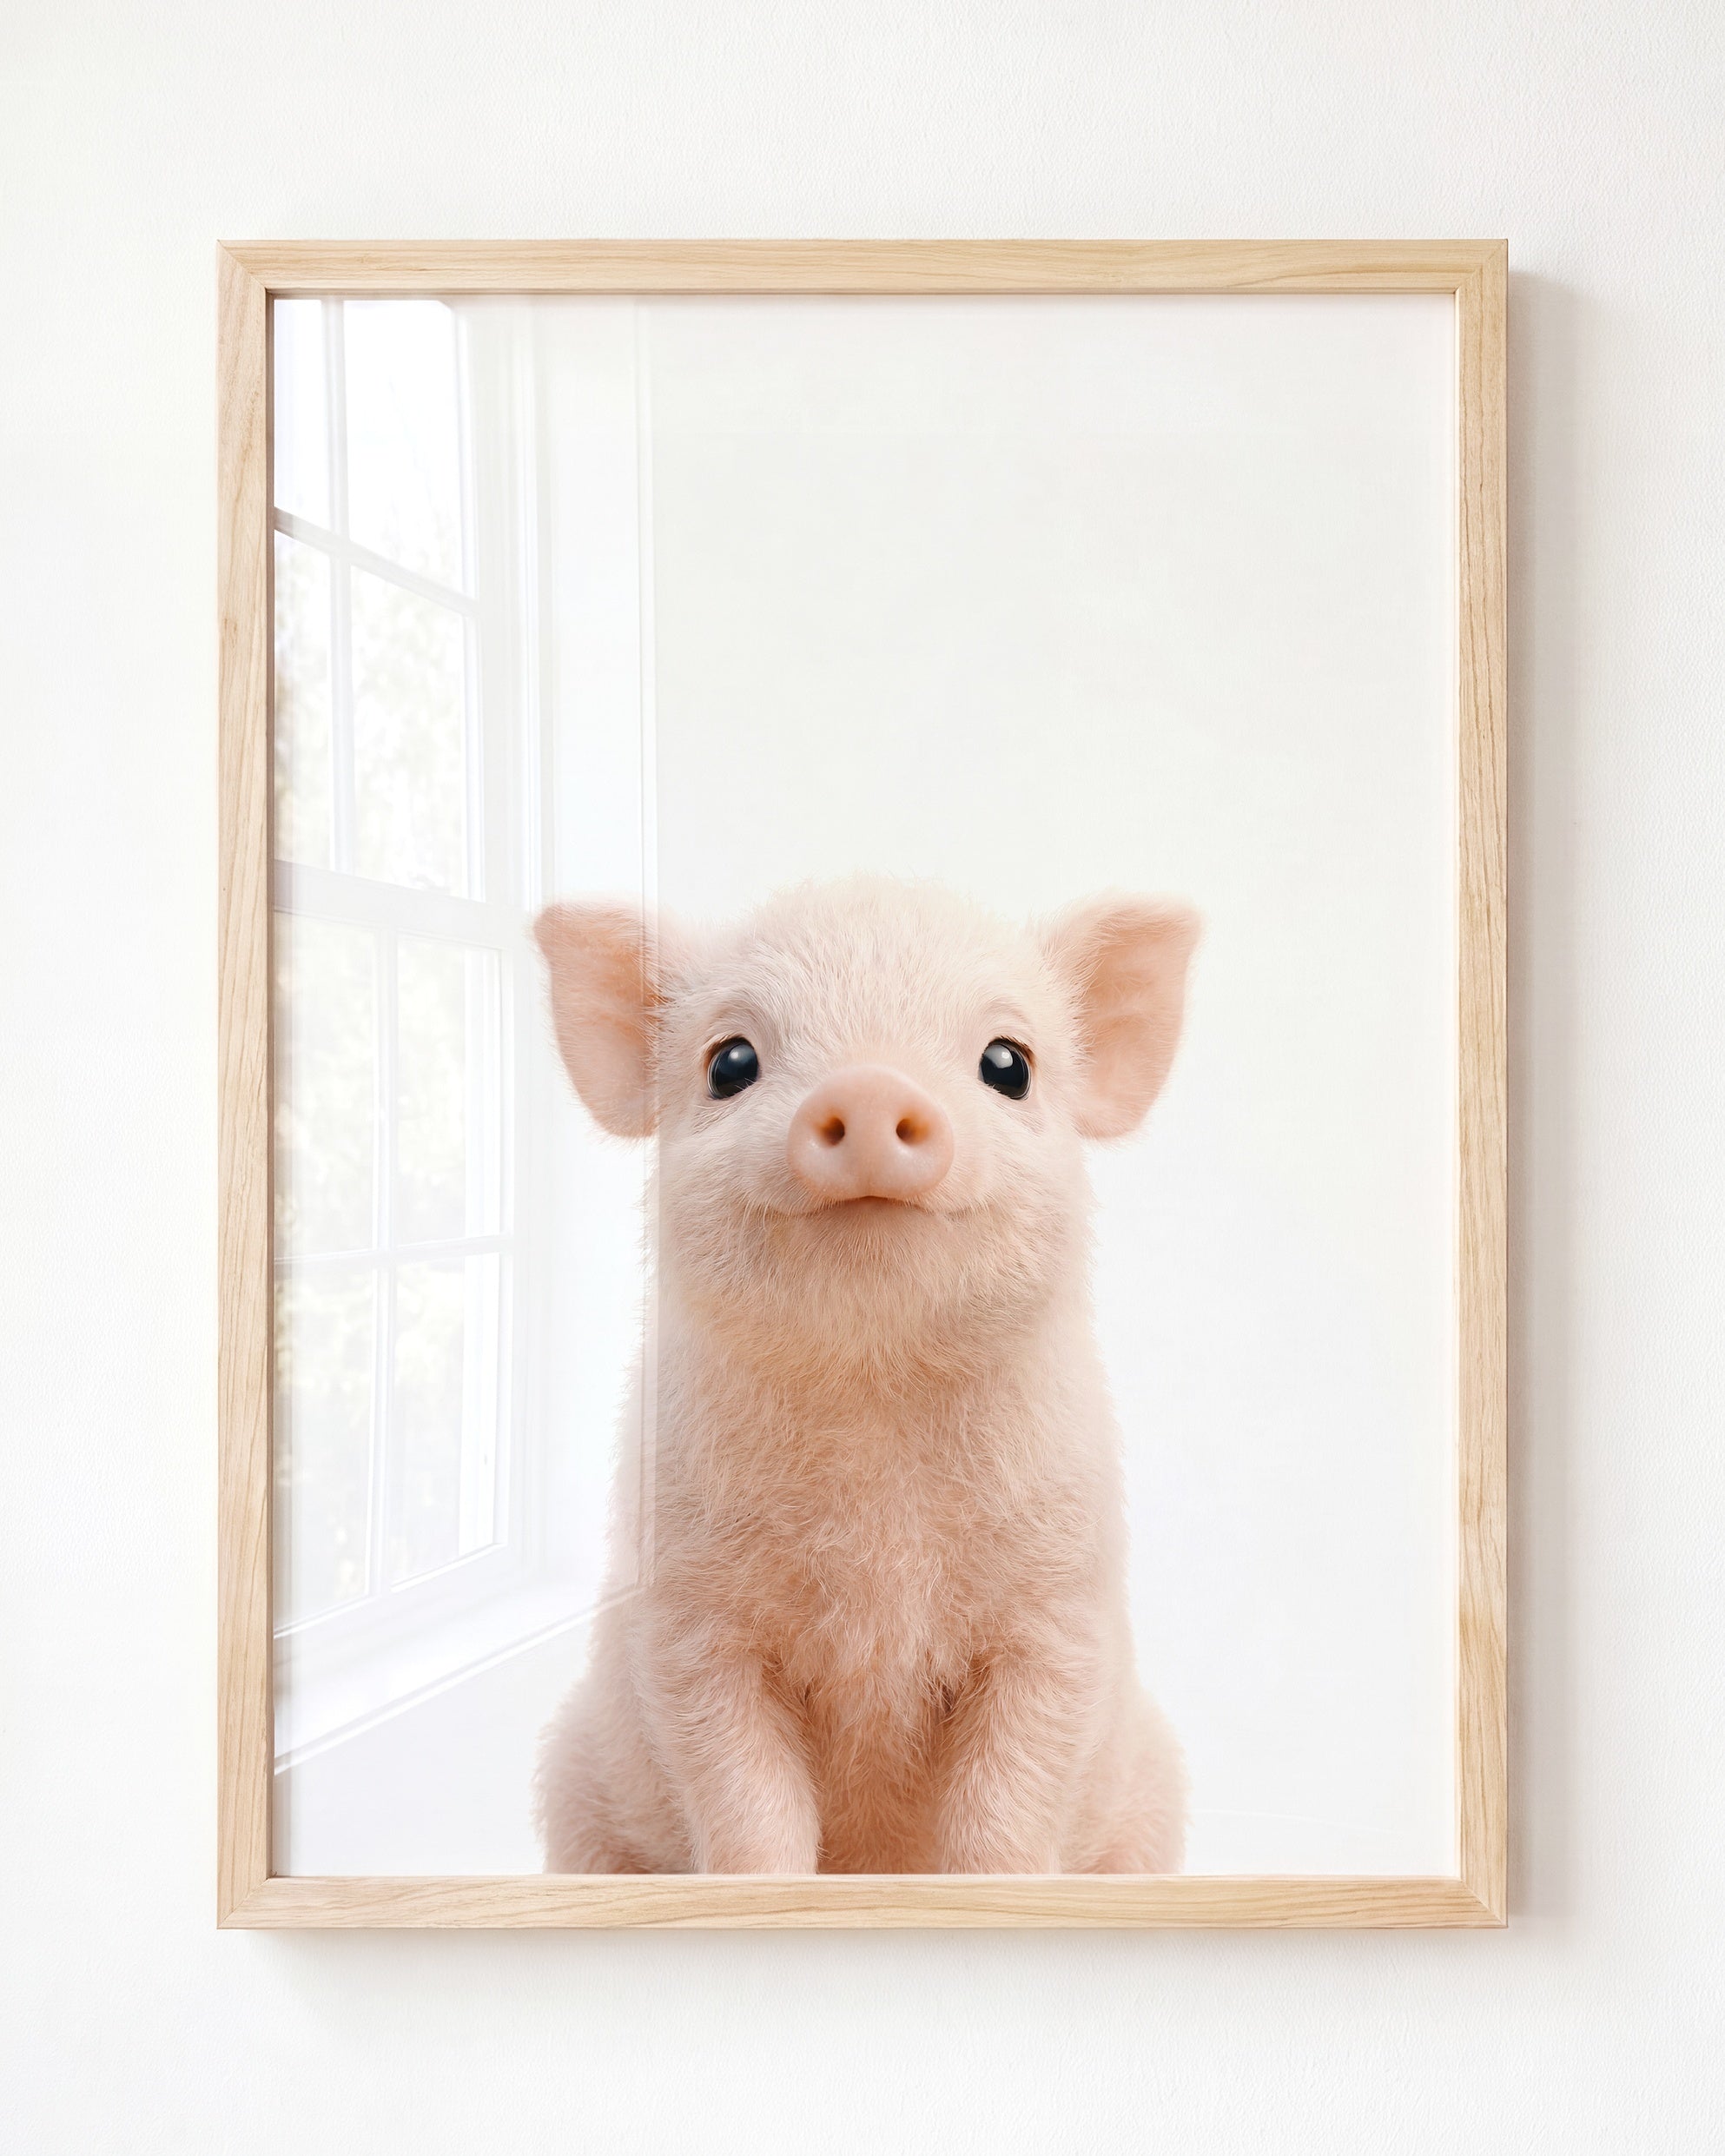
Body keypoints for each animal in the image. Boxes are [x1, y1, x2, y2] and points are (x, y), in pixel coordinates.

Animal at [531, 876, 1197, 1874]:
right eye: (730, 1062)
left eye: (1009, 1064)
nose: (872, 1084)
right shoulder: (688, 1624)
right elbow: (748, 1805)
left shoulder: (1059, 1613)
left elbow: (1005, 1810)